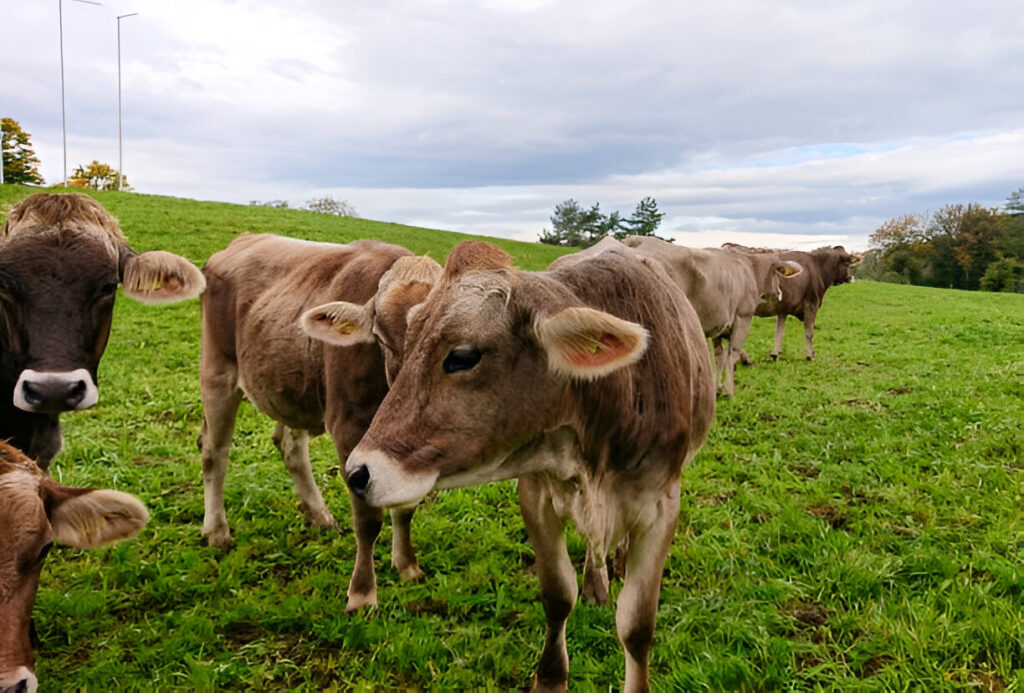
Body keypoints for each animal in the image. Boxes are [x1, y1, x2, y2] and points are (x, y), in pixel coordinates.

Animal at [198, 233, 440, 610]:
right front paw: (362, 594)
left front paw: (407, 566)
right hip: (217, 370)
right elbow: (368, 520)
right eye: (381, 336)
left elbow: (405, 507)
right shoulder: (349, 429)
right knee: (214, 451)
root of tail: (243, 239)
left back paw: (319, 515)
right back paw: (217, 530)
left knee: (289, 447)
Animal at [339, 239, 716, 691]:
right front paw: (551, 676)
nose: (358, 472)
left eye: (462, 356)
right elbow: (557, 596)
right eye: (401, 344)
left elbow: (638, 626)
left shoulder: (662, 506)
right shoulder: (536, 493)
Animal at [614, 235, 798, 395]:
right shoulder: (743, 317)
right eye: (778, 272)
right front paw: (728, 390)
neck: (749, 268)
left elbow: (719, 356)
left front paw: (717, 388)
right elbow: (733, 353)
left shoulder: (719, 322)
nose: (780, 292)